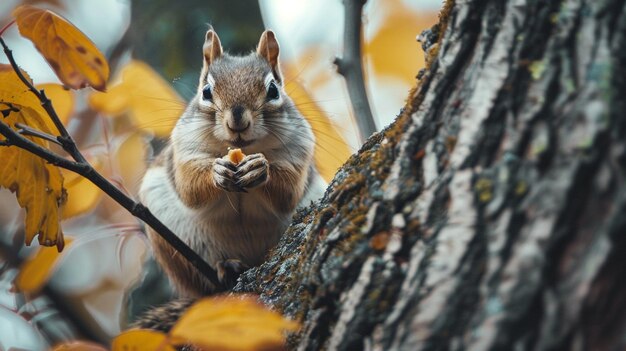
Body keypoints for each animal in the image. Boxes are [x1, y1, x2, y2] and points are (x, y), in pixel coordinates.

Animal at [138, 26, 326, 300]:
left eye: (273, 90)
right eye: (206, 92)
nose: (237, 121)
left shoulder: (297, 151)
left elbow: (287, 193)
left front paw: (259, 169)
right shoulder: (185, 151)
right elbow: (190, 189)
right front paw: (217, 172)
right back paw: (226, 267)